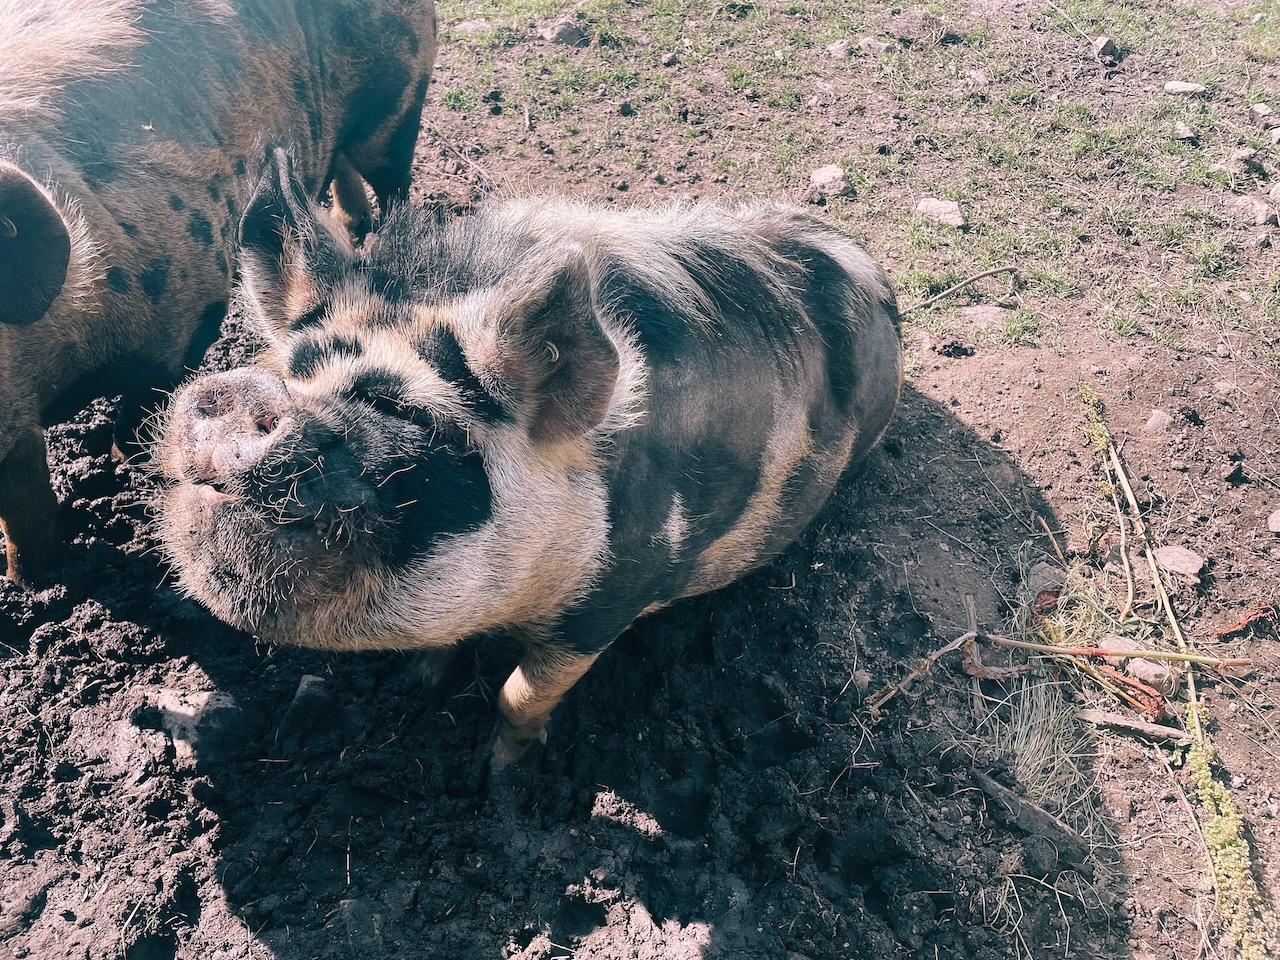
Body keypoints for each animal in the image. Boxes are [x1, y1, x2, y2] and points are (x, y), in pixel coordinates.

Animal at [0, 0, 437, 584]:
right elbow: (23, 501)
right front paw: (31, 579)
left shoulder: (187, 310)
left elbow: (141, 407)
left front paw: (132, 463)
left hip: (399, 95)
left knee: (389, 175)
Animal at [154, 150, 903, 770]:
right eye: (291, 368)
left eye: (410, 415)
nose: (246, 390)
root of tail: (867, 260)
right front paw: (418, 686)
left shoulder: (610, 600)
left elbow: (518, 693)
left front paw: (502, 775)